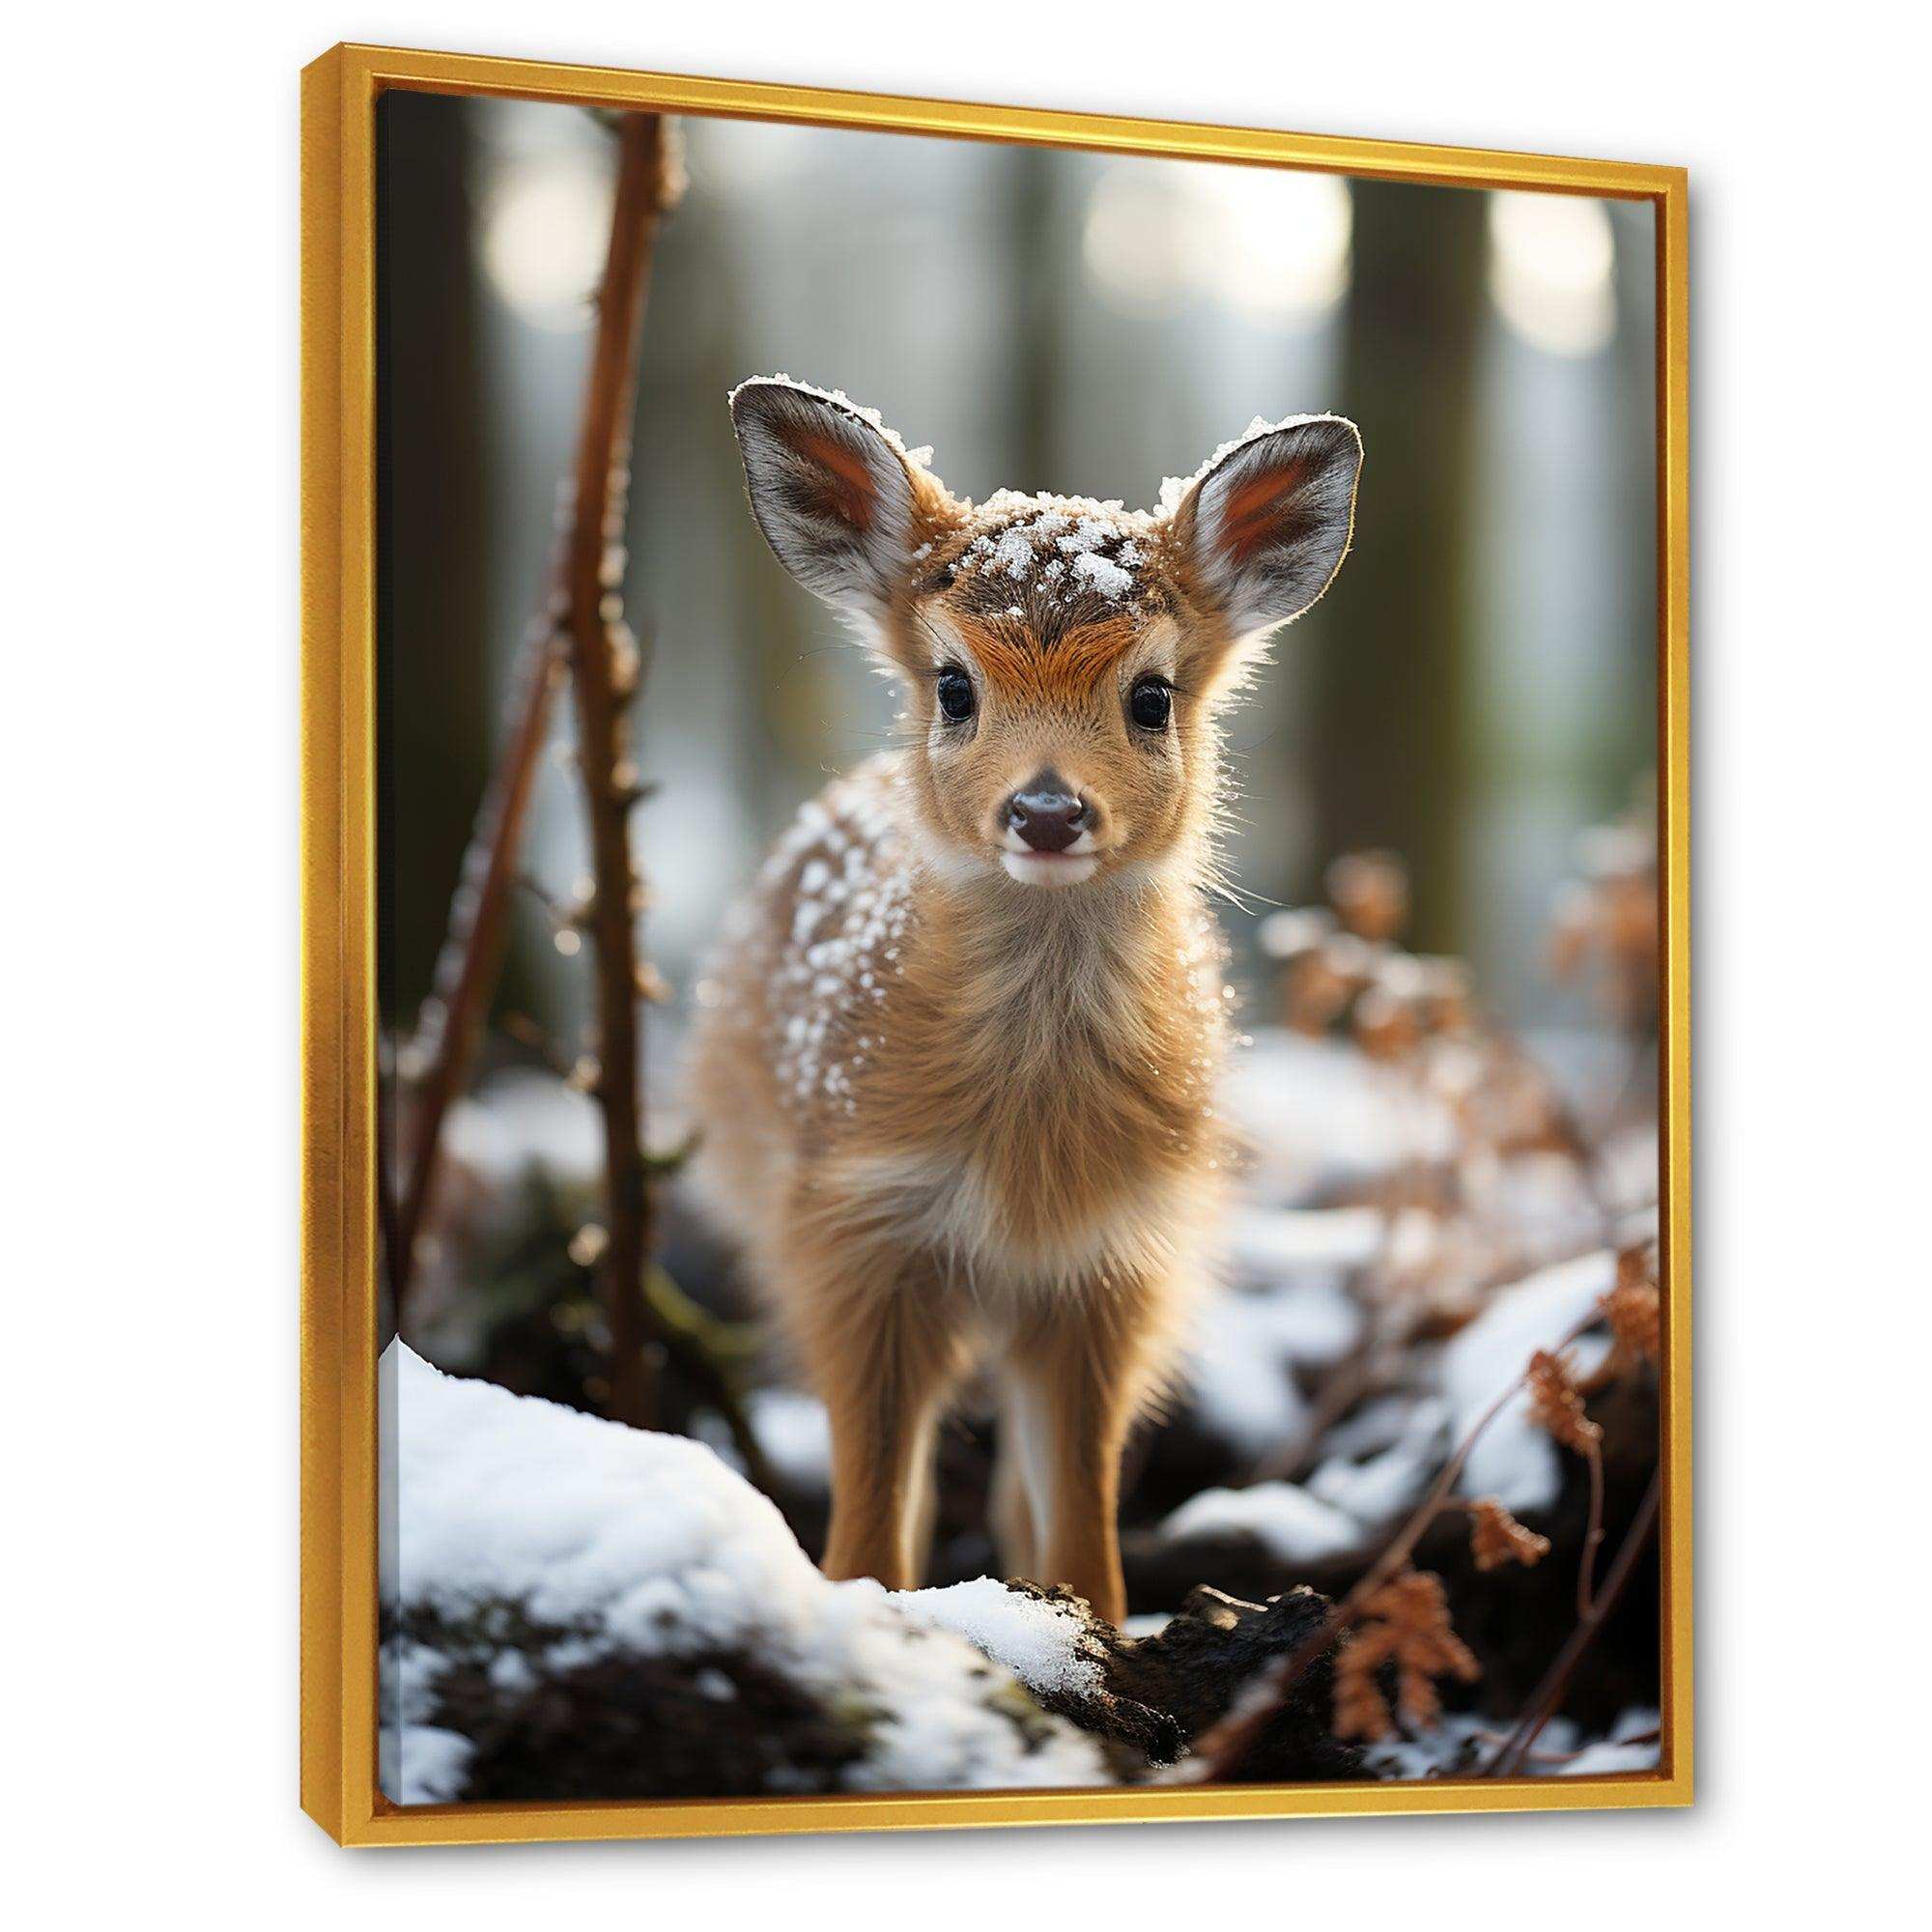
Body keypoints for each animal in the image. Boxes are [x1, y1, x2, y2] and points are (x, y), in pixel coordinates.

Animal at [686, 377, 1363, 1625]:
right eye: (954, 686)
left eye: (1150, 695)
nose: (1046, 810)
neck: (1022, 1155)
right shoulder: (850, 1229)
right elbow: (870, 1508)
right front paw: (878, 1619)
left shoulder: (1112, 1263)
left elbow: (1081, 1504)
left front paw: (1094, 1634)